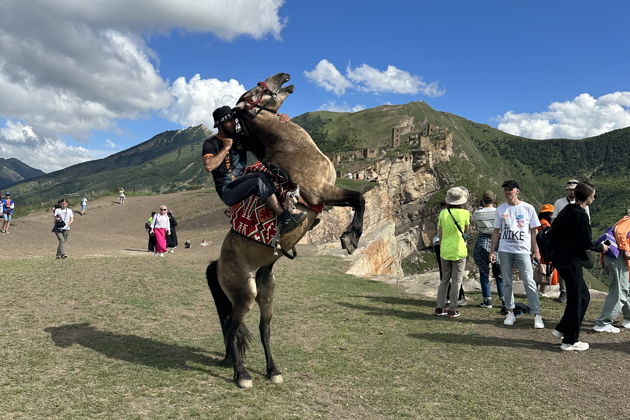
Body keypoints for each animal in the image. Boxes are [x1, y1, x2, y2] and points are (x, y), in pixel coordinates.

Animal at [207, 71, 366, 388]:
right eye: (254, 90)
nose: (284, 76)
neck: (292, 147)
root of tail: (218, 264)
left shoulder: (325, 196)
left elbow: (358, 199)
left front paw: (351, 236)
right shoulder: (320, 192)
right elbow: (359, 198)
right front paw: (350, 237)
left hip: (267, 291)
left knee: (262, 329)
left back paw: (272, 370)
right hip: (244, 294)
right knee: (232, 328)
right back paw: (241, 374)